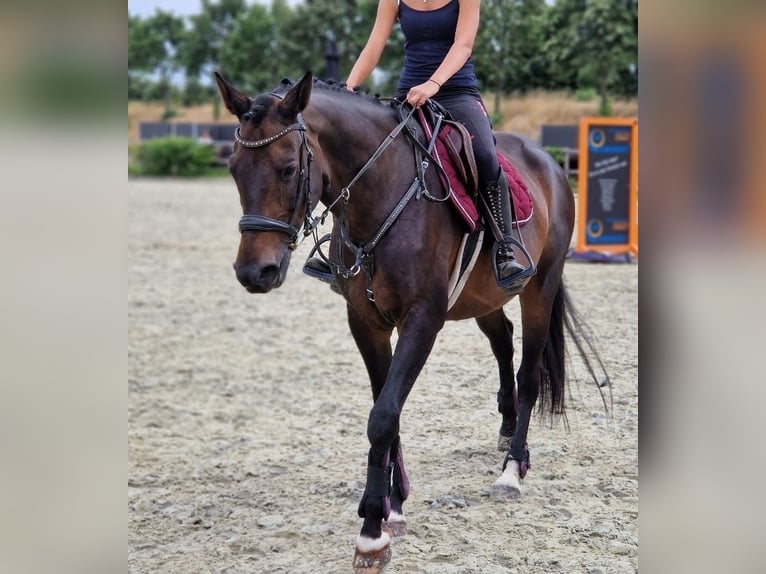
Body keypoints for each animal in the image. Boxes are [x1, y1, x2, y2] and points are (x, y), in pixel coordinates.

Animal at [214, 71, 607, 573]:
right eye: (233, 169)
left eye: (286, 169)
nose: (254, 272)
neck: (379, 195)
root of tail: (549, 162)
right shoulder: (365, 322)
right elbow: (387, 407)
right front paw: (394, 505)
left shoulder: (422, 320)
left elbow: (383, 416)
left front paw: (371, 533)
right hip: (484, 298)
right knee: (503, 342)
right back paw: (504, 430)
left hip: (540, 288)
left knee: (530, 372)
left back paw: (511, 471)